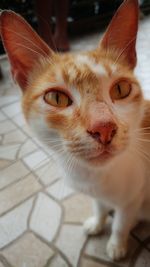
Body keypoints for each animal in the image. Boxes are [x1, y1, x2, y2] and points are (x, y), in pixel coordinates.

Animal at [0, 0, 150, 262]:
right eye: (57, 98)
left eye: (121, 89)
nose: (104, 127)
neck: (94, 178)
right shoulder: (99, 195)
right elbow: (99, 206)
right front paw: (97, 223)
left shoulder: (133, 197)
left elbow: (121, 223)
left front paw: (116, 245)